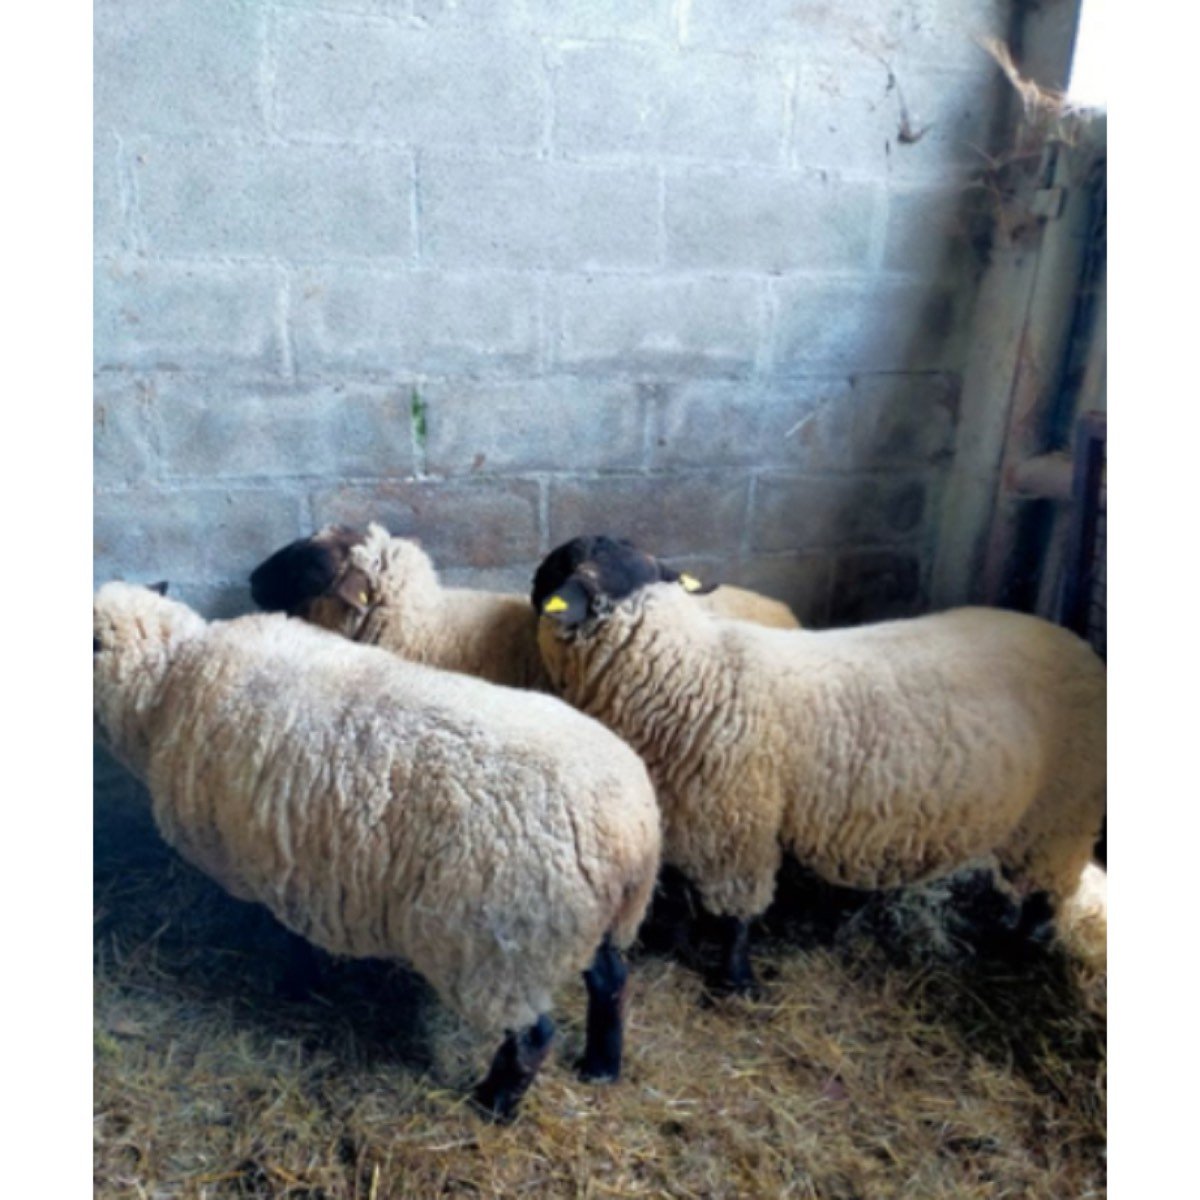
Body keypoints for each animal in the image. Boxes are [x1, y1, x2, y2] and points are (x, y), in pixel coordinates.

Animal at [93, 581, 661, 1121]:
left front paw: (296, 983)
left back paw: (494, 1105)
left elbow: (290, 937)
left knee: (532, 1035)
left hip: (506, 948)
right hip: (589, 924)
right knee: (611, 982)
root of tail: (630, 829)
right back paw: (601, 1066)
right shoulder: (299, 860)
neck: (172, 675)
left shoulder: (274, 859)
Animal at [532, 536, 1106, 993]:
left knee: (1048, 891)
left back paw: (1023, 946)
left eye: (555, 564)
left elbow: (736, 914)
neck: (691, 672)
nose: (532, 587)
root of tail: (1077, 645)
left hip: (1064, 809)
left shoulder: (736, 828)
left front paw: (735, 980)